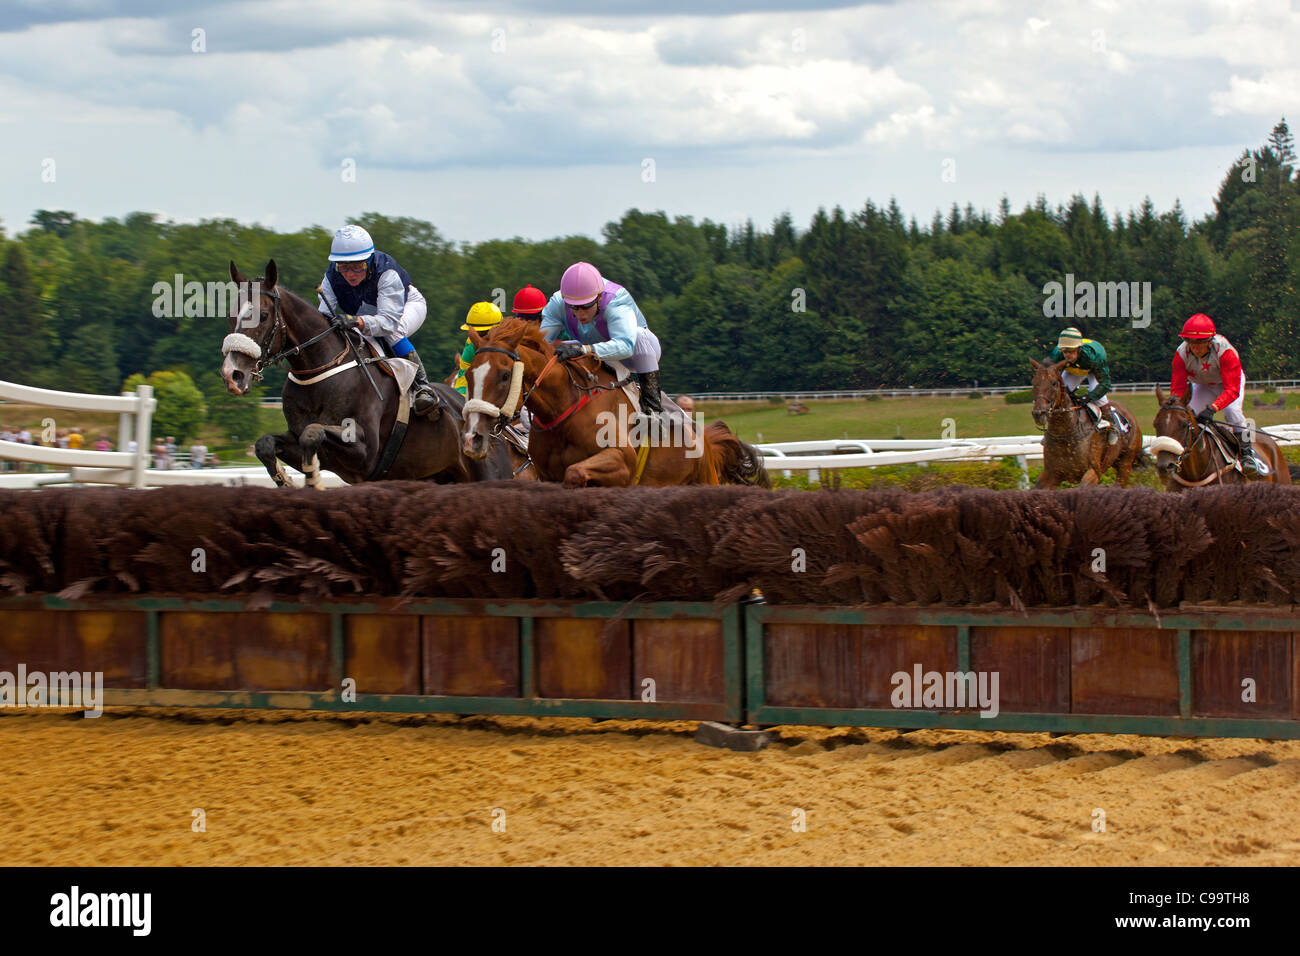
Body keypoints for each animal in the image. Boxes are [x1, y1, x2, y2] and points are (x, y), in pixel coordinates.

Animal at [220, 260, 509, 486]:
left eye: (263, 315)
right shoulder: (298, 438)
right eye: (231, 315)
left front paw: (312, 480)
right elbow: (265, 443)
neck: (322, 370)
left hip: (488, 472)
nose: (232, 374)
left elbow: (313, 432)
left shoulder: (365, 452)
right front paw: (285, 478)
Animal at [457, 319, 764, 489]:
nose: (473, 438)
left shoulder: (621, 461)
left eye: (504, 375)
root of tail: (705, 439)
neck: (564, 408)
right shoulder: (545, 475)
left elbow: (575, 472)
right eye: (469, 374)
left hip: (704, 478)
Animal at [1029, 361, 1144, 489]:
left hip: (1125, 463)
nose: (1038, 413)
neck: (1066, 433)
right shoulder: (1051, 473)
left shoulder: (1093, 471)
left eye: (1054, 383)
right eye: (1033, 383)